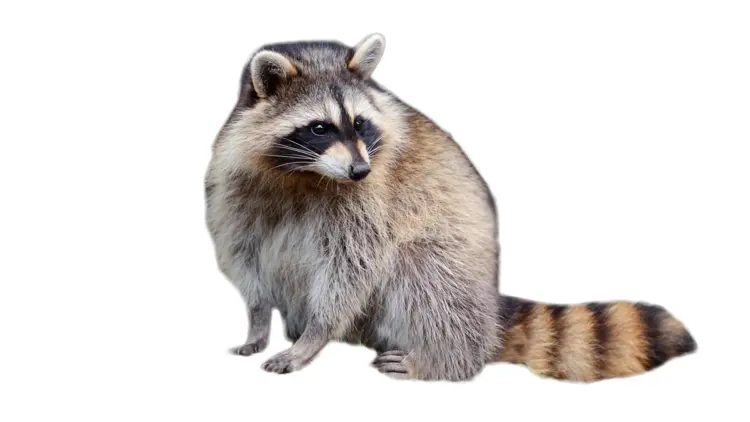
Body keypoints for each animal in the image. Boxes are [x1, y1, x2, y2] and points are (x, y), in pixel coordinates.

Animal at [204, 33, 696, 381]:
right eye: (319, 127)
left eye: (360, 123)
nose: (360, 169)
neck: (305, 174)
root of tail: (491, 313)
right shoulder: (234, 186)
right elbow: (244, 256)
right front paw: (257, 322)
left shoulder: (370, 200)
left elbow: (351, 269)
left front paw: (314, 336)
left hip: (456, 276)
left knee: (422, 274)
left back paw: (439, 360)